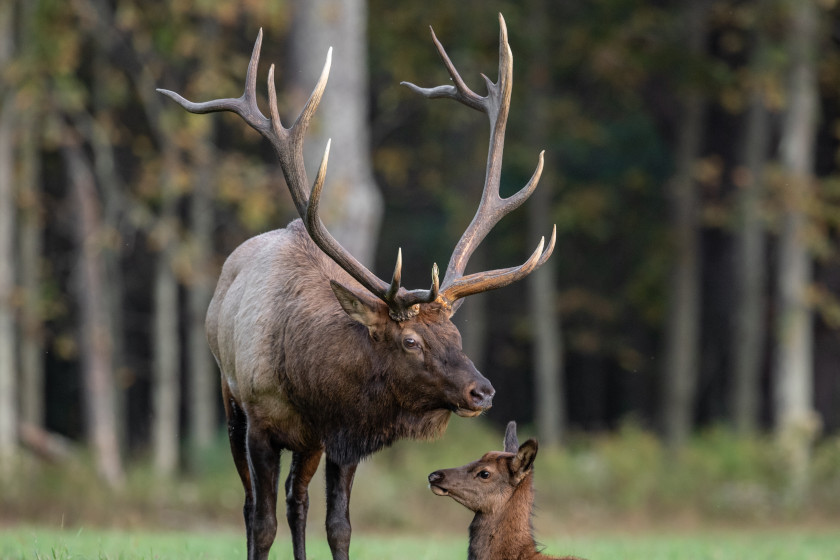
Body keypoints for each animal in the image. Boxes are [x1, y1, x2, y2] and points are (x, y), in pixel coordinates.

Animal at [158, 12, 556, 560]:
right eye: (410, 341)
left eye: (455, 335)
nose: (482, 391)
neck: (310, 383)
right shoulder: (260, 422)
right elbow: (260, 523)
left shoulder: (341, 435)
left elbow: (339, 525)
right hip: (229, 398)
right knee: (253, 504)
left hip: (308, 445)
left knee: (297, 499)